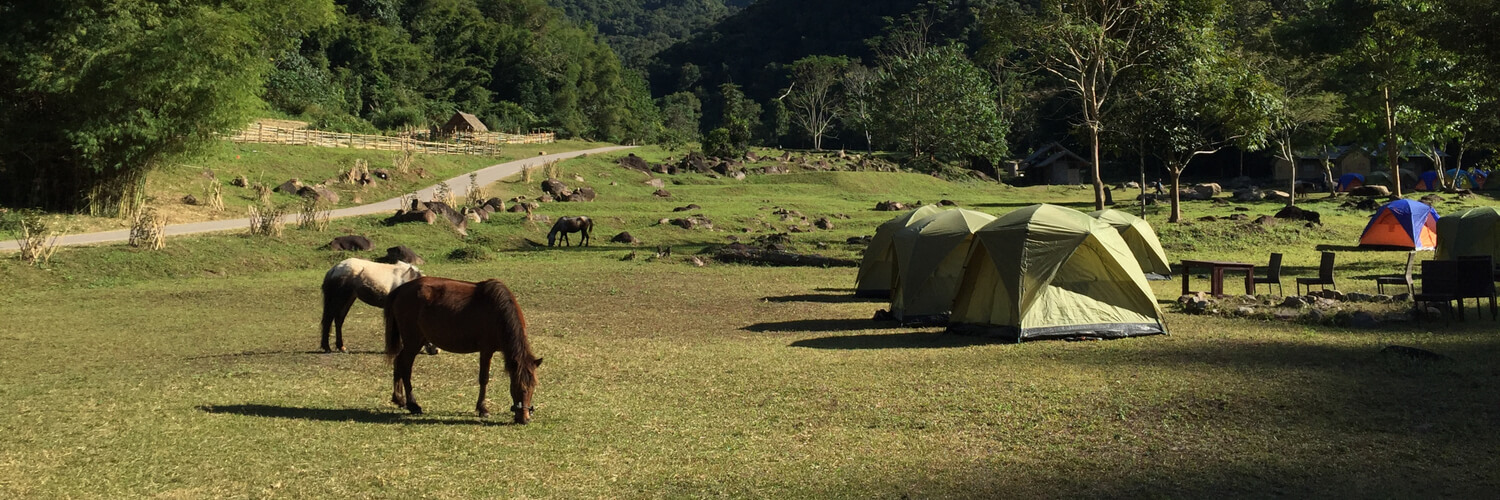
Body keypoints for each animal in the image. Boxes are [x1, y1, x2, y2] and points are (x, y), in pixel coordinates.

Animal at [384, 274, 543, 423]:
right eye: (517, 386)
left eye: (533, 387)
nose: (524, 418)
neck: (498, 312)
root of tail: (401, 289)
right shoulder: (486, 350)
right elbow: (484, 378)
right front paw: (483, 409)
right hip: (413, 342)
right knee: (405, 366)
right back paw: (413, 405)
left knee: (398, 361)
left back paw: (399, 399)